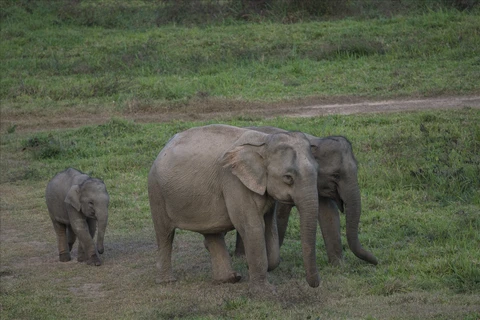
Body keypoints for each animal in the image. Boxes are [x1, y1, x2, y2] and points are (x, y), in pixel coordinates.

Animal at [149, 124, 322, 290]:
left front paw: (258, 267)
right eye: (288, 178)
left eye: (318, 172)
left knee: (212, 233)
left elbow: (269, 227)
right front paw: (265, 291)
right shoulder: (234, 181)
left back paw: (229, 278)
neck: (264, 141)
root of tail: (164, 148)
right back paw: (166, 281)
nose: (314, 284)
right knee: (165, 234)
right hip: (157, 192)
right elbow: (252, 227)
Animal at [234, 126, 376, 266]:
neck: (316, 140)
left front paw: (339, 265)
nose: (376, 261)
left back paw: (241, 257)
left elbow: (329, 214)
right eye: (336, 175)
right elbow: (280, 215)